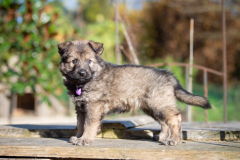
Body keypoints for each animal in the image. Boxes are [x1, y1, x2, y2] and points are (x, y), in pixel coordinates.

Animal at [58, 39, 212, 146]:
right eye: (74, 61)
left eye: (89, 61)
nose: (82, 73)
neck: (82, 84)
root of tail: (168, 75)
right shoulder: (80, 108)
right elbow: (80, 124)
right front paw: (78, 137)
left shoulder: (93, 106)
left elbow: (88, 125)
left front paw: (85, 139)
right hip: (151, 107)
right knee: (164, 122)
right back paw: (161, 136)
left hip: (159, 103)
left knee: (175, 118)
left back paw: (173, 140)